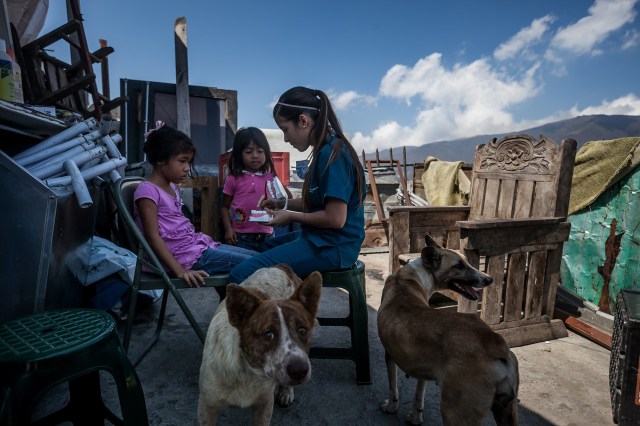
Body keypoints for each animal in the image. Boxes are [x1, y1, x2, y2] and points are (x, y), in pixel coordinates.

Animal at [198, 264, 322, 424]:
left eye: (302, 330)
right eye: (268, 334)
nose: (299, 370)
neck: (248, 371)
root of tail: (280, 266)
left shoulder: (265, 404)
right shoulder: (207, 406)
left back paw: (287, 391)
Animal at [376, 236, 520, 426]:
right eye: (459, 265)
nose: (489, 280)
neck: (408, 280)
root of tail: (494, 342)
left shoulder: (389, 355)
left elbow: (393, 387)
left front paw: (391, 407)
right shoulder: (422, 367)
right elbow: (418, 395)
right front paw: (415, 417)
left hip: (454, 412)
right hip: (506, 411)